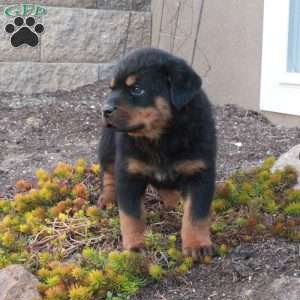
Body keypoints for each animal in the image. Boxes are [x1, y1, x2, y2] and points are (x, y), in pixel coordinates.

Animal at [98, 48, 216, 258]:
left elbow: (196, 215)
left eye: (137, 89)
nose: (105, 109)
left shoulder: (200, 172)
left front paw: (197, 245)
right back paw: (109, 198)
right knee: (109, 172)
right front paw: (134, 247)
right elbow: (131, 216)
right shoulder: (129, 173)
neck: (161, 138)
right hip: (108, 147)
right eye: (112, 89)